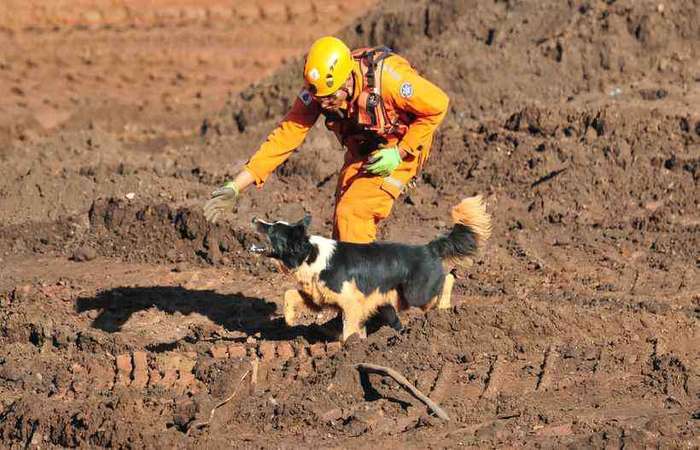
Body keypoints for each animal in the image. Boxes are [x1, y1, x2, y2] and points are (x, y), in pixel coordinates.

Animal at [253, 196, 492, 342]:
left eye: (272, 230)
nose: (255, 218)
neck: (310, 254)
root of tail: (429, 247)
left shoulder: (351, 303)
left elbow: (349, 330)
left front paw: (348, 350)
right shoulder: (318, 298)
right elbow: (289, 294)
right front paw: (289, 319)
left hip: (416, 293)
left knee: (447, 279)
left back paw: (443, 310)